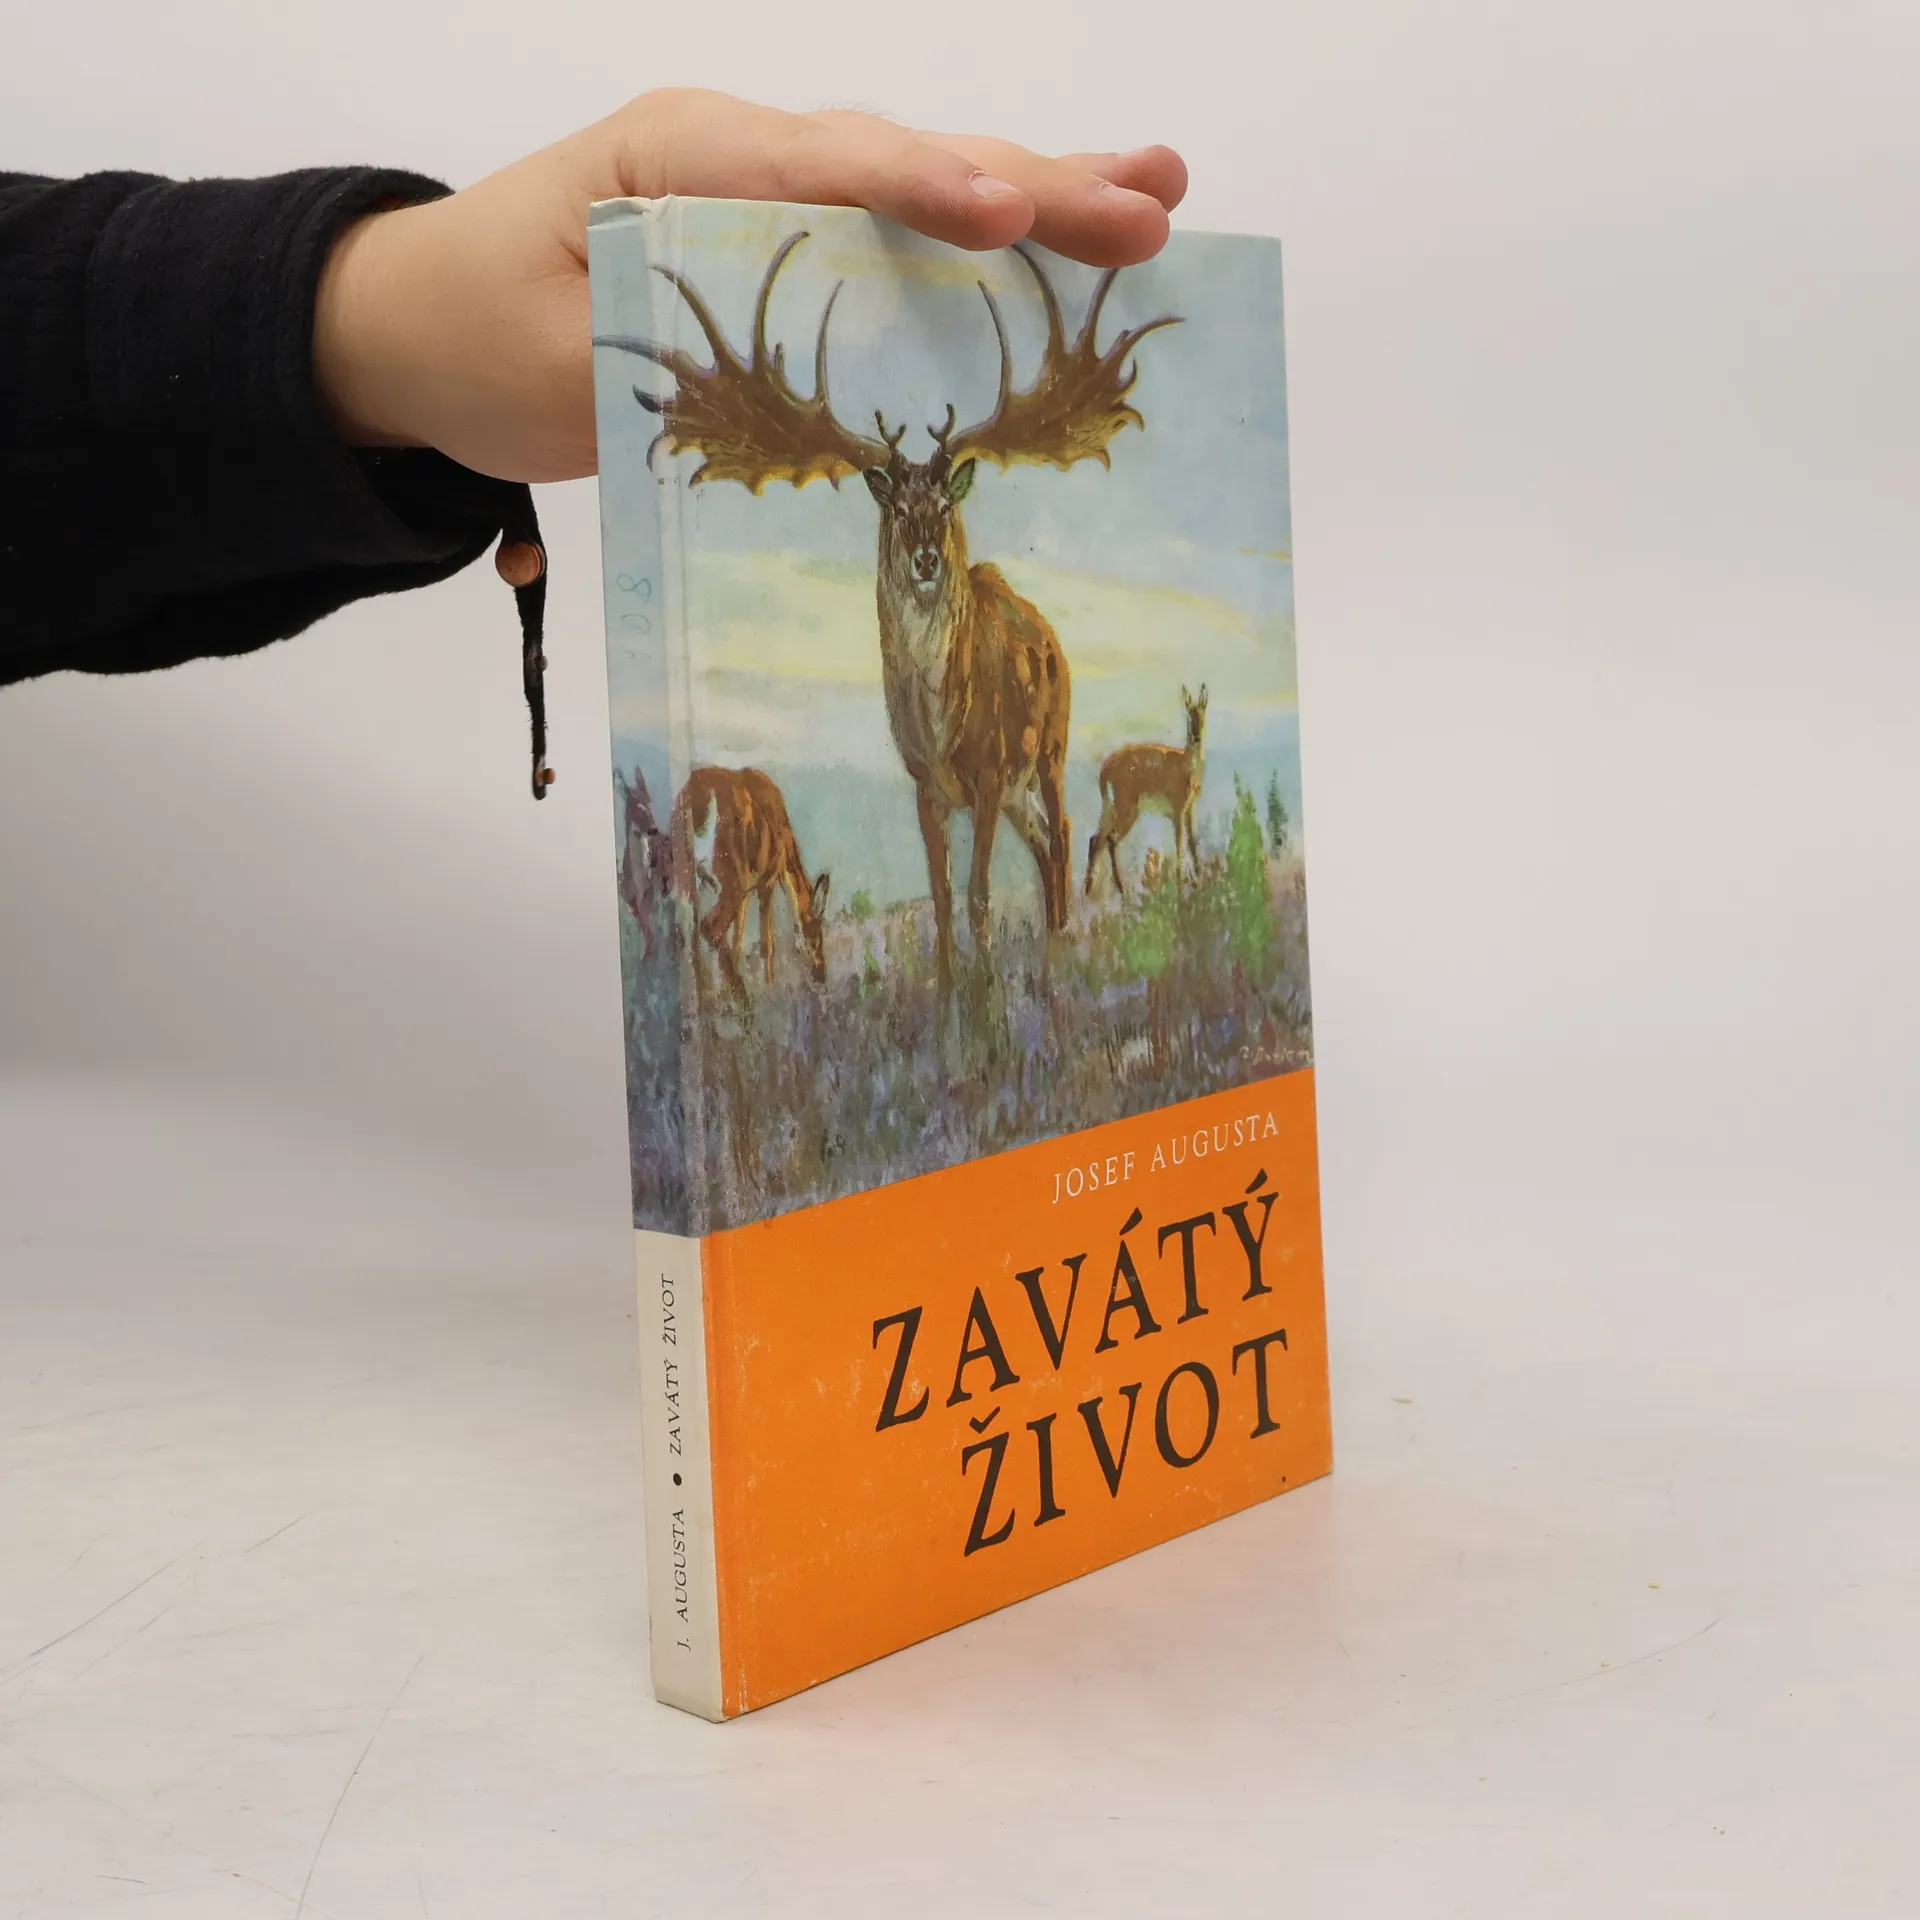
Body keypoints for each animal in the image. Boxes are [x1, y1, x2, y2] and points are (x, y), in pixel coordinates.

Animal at [670, 766, 830, 1001]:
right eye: (817, 935)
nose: (821, 976)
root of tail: (697, 797)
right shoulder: (766, 883)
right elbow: (767, 942)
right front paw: (769, 987)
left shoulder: (746, 893)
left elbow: (738, 937)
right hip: (732, 881)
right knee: (710, 926)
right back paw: (741, 998)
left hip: (687, 880)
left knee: (688, 938)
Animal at [1086, 684, 1209, 899]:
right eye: (1188, 713)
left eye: (1202, 712)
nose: (1196, 736)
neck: (1186, 766)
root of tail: (1105, 767)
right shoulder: (1178, 811)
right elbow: (1180, 846)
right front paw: (1180, 887)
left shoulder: (1190, 808)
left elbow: (1193, 843)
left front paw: (1199, 881)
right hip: (1128, 808)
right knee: (1111, 838)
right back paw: (1122, 890)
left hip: (1110, 807)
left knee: (1096, 839)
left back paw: (1089, 891)